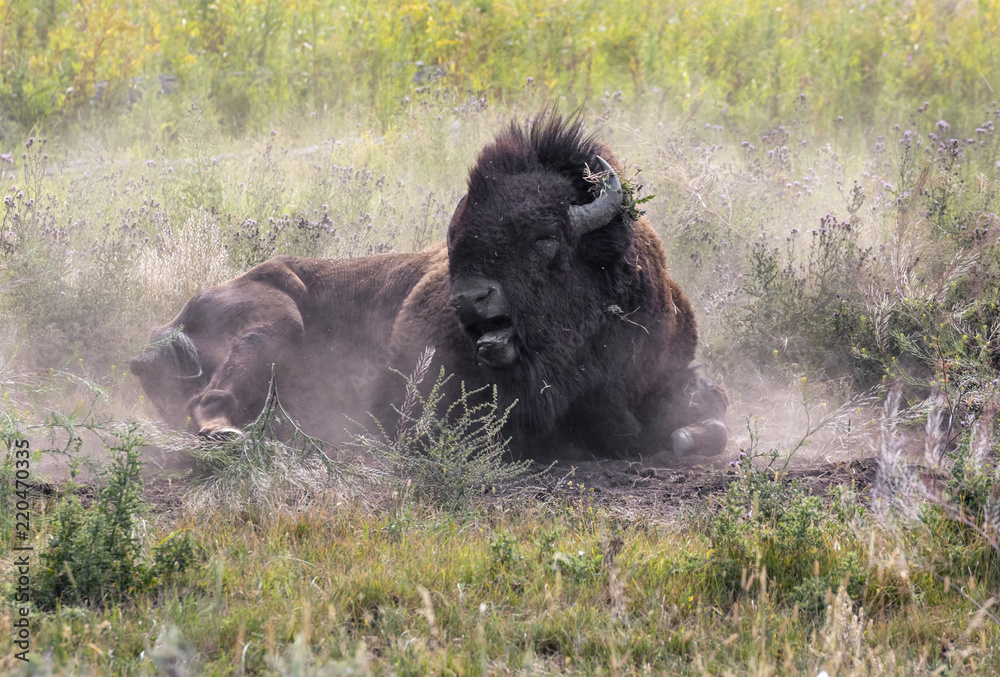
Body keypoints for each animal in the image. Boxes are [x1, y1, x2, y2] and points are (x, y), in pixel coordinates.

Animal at [130, 114, 728, 461]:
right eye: (457, 241)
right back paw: (229, 435)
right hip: (274, 321)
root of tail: (181, 315)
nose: (470, 298)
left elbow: (707, 407)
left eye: (544, 238)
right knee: (209, 399)